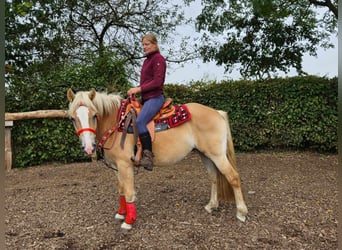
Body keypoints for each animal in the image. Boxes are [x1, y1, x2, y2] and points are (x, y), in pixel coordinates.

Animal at [67, 88, 248, 230]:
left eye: (94, 115)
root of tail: (217, 112)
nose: (88, 147)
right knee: (213, 177)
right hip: (205, 154)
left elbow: (129, 192)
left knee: (233, 177)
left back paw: (241, 212)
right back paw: (212, 205)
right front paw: (121, 213)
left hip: (217, 155)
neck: (117, 124)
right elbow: (121, 190)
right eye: (72, 118)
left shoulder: (125, 166)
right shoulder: (116, 167)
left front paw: (128, 221)